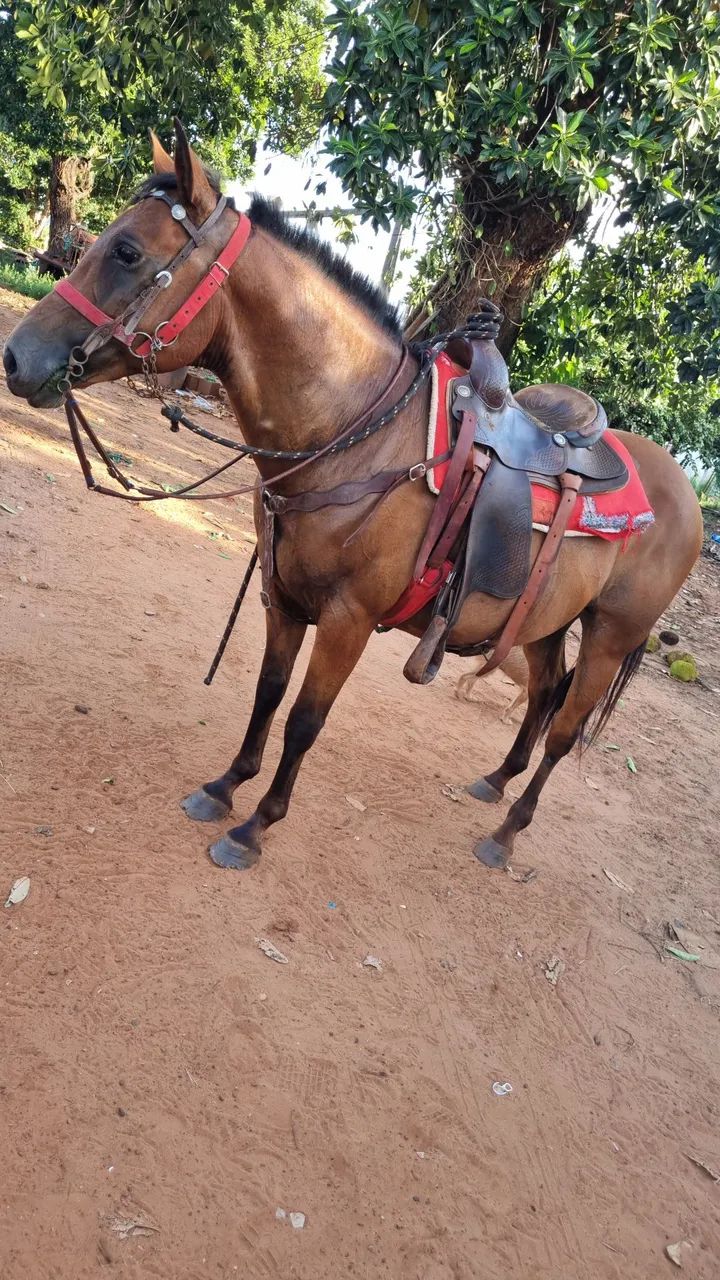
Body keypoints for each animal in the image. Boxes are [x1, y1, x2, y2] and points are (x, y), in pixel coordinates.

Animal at [3, 122, 703, 872]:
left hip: (610, 633)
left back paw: (507, 832)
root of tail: (683, 493)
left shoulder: (349, 618)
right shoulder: (283, 596)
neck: (355, 437)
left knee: (565, 730)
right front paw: (225, 786)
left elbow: (306, 720)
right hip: (544, 618)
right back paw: (494, 781)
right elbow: (268, 693)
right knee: (544, 694)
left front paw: (255, 827)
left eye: (127, 251)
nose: (16, 357)